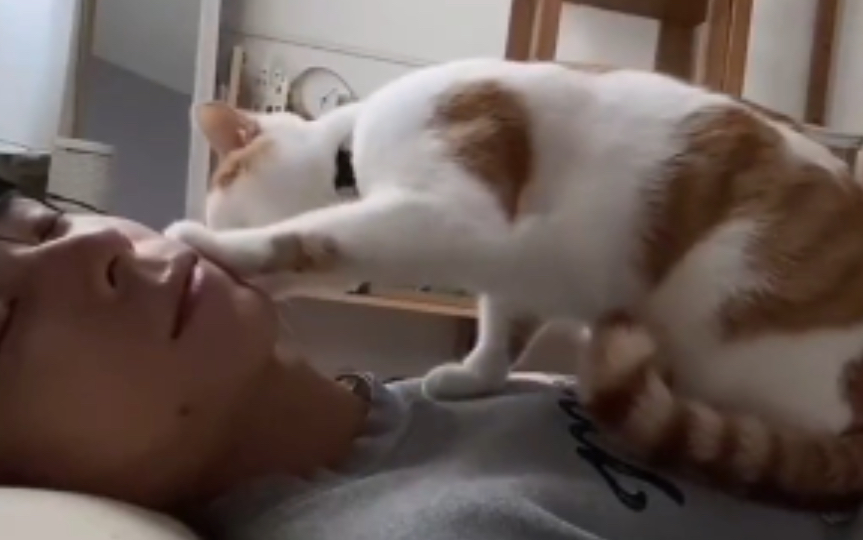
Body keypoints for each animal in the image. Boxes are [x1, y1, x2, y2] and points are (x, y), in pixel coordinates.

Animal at [165, 58, 863, 510]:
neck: (351, 150)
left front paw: (215, 248)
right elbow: (501, 332)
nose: (210, 221)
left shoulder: (450, 211)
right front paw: (474, 377)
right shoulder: (514, 273)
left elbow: (312, 236)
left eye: (219, 196)